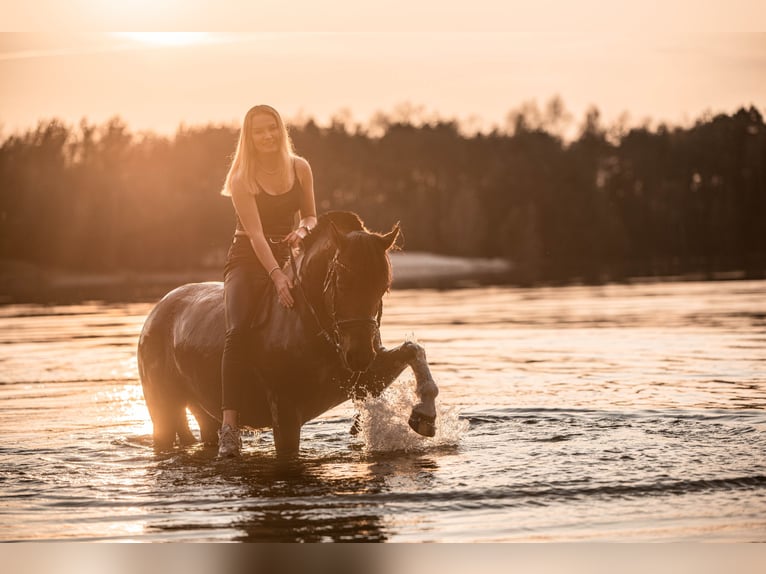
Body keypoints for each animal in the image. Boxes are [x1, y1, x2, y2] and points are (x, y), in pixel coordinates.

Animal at [137, 214, 438, 456]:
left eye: (383, 285)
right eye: (342, 282)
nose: (359, 355)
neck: (311, 327)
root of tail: (156, 312)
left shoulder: (367, 376)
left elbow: (413, 350)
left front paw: (424, 416)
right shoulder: (285, 412)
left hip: (204, 411)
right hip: (163, 410)